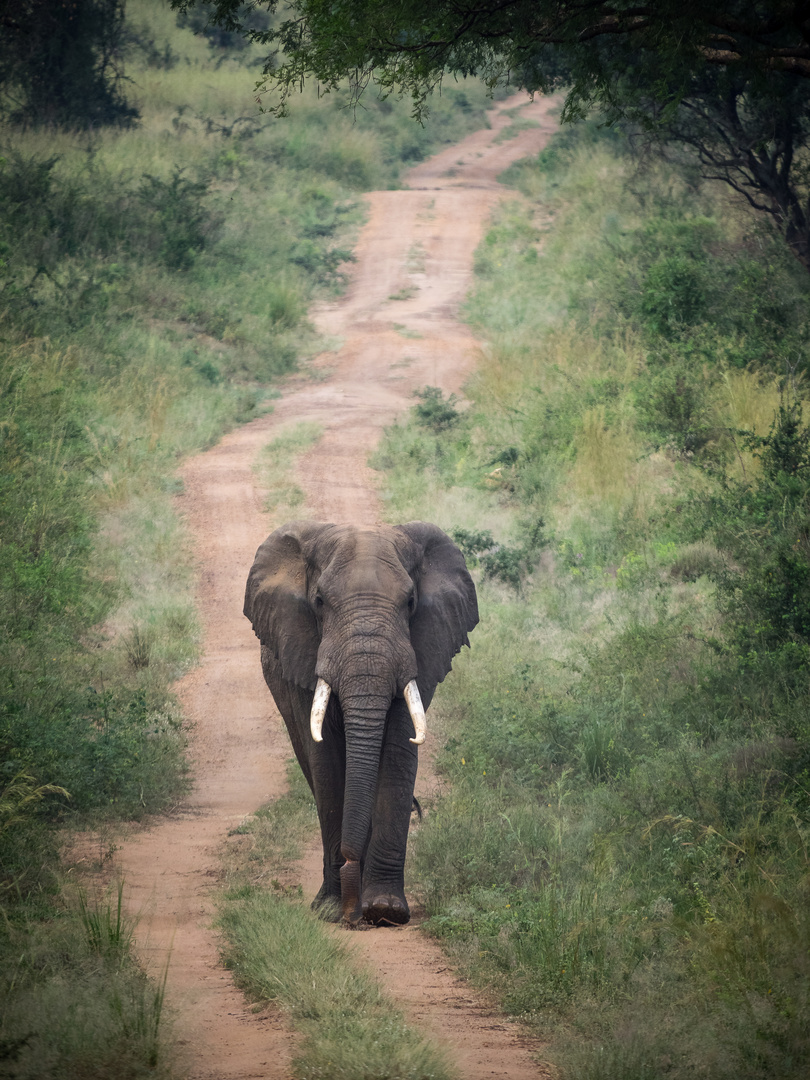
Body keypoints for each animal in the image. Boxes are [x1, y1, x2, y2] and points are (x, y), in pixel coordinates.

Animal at [244, 518, 479, 924]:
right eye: (320, 602)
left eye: (411, 603)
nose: (353, 912)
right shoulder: (304, 652)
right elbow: (326, 761)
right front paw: (332, 909)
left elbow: (400, 748)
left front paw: (385, 910)